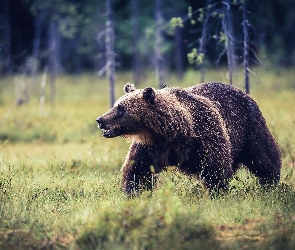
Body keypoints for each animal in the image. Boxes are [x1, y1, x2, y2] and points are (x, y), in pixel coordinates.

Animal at [96, 82, 282, 195]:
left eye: (121, 108)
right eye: (116, 105)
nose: (100, 120)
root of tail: (244, 93)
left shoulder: (205, 135)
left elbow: (216, 168)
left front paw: (216, 192)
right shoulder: (152, 146)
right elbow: (138, 169)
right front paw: (133, 191)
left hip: (250, 127)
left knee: (263, 156)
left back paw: (271, 182)